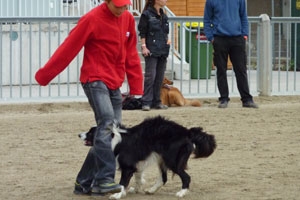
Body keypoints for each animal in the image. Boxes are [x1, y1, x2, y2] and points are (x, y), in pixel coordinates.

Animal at [78, 115, 217, 198]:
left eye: (90, 132)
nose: (79, 134)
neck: (113, 139)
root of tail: (187, 132)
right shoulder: (137, 164)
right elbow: (138, 177)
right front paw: (135, 189)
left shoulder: (127, 166)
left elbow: (123, 182)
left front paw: (117, 195)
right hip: (162, 159)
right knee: (163, 178)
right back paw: (151, 190)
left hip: (172, 160)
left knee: (186, 177)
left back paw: (181, 193)